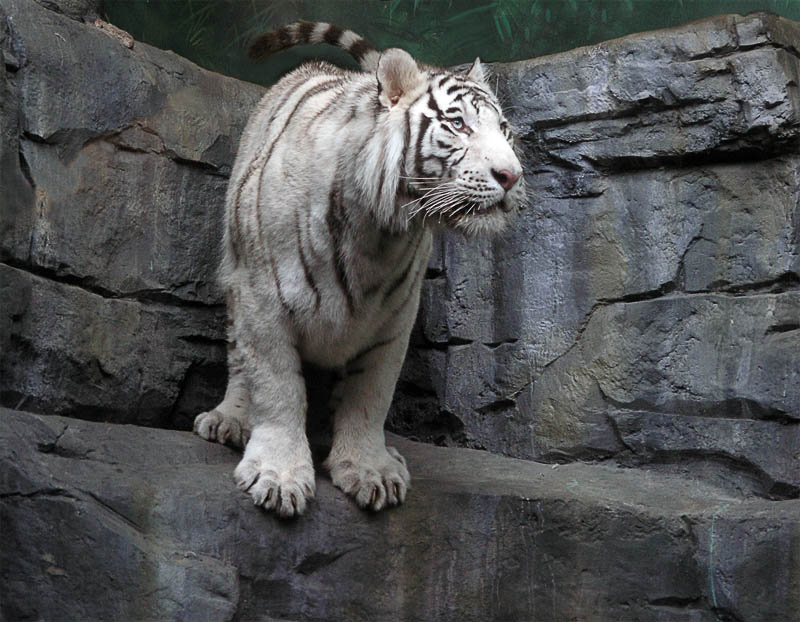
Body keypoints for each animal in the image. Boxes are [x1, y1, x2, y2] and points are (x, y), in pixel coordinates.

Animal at [193, 21, 525, 517]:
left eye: (504, 130)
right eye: (458, 124)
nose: (512, 175)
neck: (378, 231)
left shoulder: (394, 317)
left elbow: (371, 394)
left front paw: (369, 469)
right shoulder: (262, 299)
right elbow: (277, 388)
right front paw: (279, 476)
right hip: (234, 270)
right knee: (238, 358)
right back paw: (229, 419)